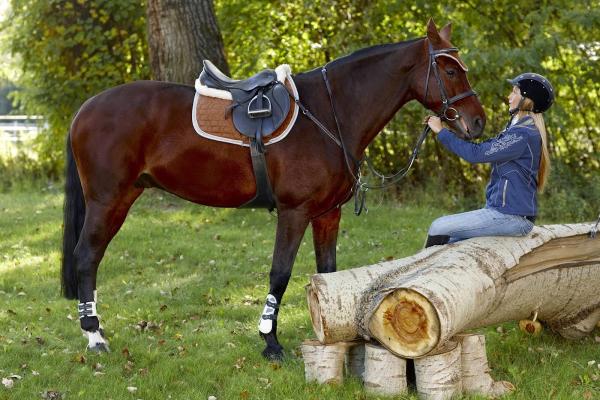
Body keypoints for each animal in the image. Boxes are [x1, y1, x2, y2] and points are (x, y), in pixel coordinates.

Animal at [61, 19, 486, 360]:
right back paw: (95, 337)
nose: (478, 122)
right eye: (450, 69)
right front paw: (270, 342)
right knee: (87, 257)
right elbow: (280, 273)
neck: (329, 114)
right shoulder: (294, 212)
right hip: (108, 201)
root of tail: (85, 108)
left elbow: (328, 273)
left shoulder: (328, 213)